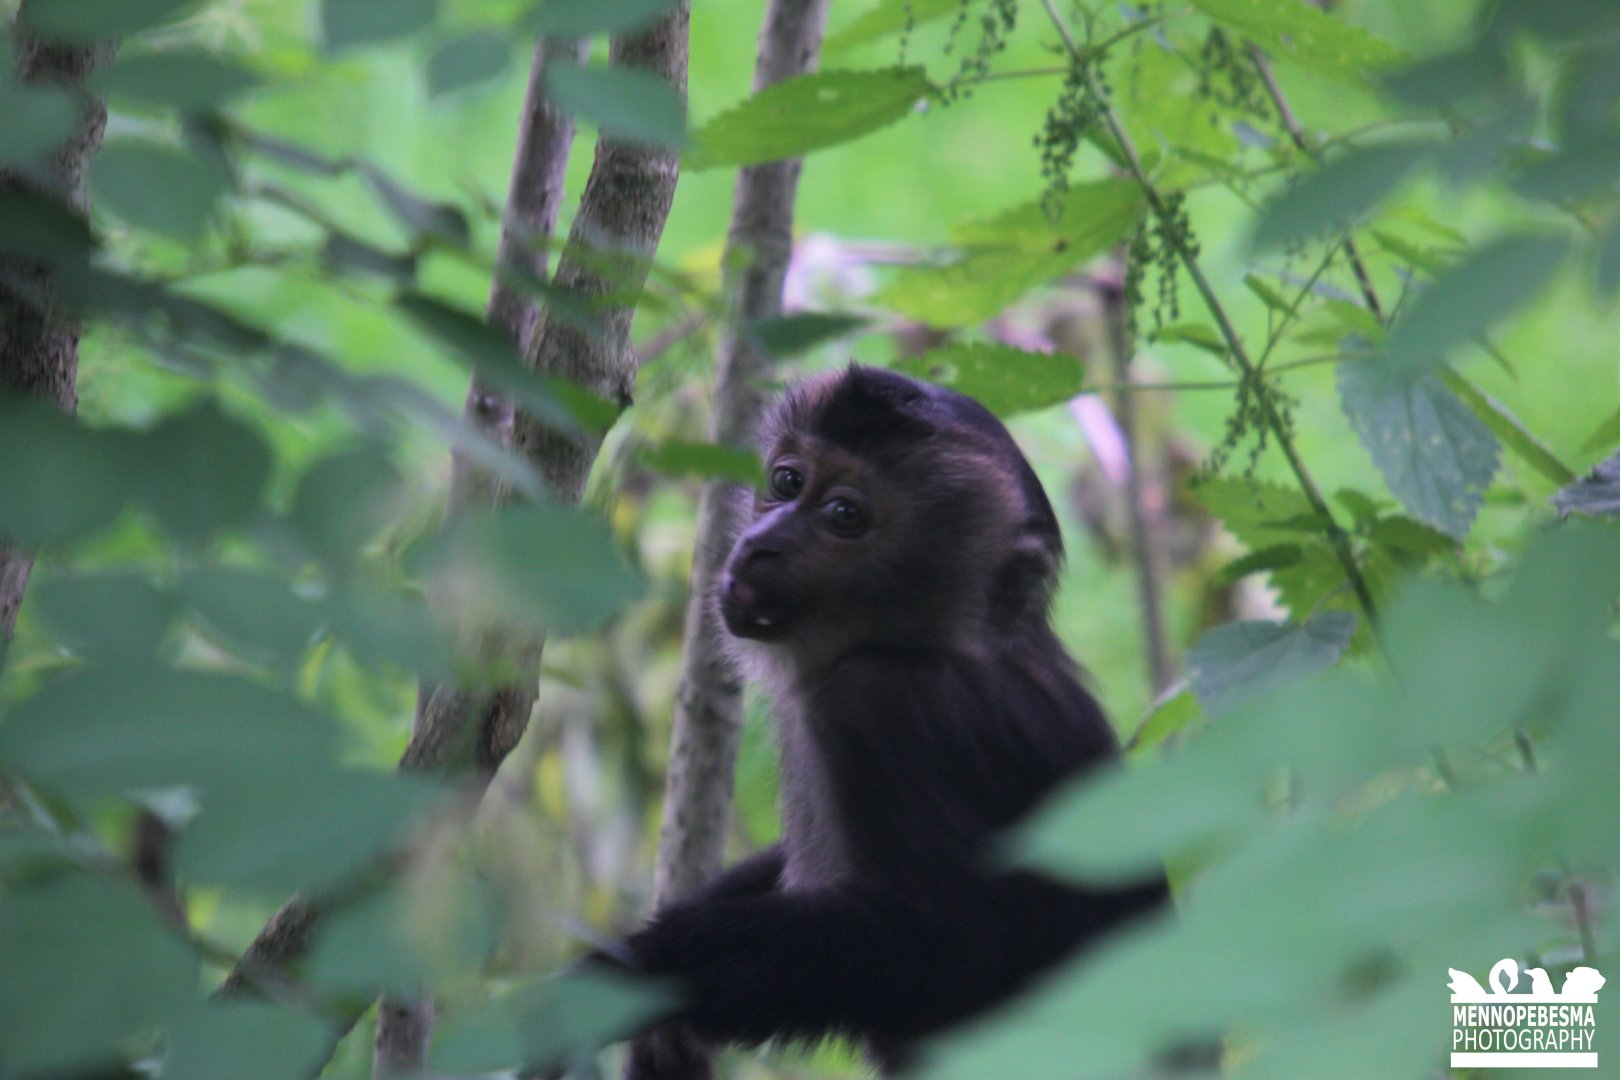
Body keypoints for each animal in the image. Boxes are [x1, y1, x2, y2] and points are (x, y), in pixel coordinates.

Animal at [608, 365, 1168, 1079]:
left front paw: (624, 978)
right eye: (786, 480)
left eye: (845, 515)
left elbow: (951, 949)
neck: (940, 644)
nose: (760, 547)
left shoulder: (880, 701)